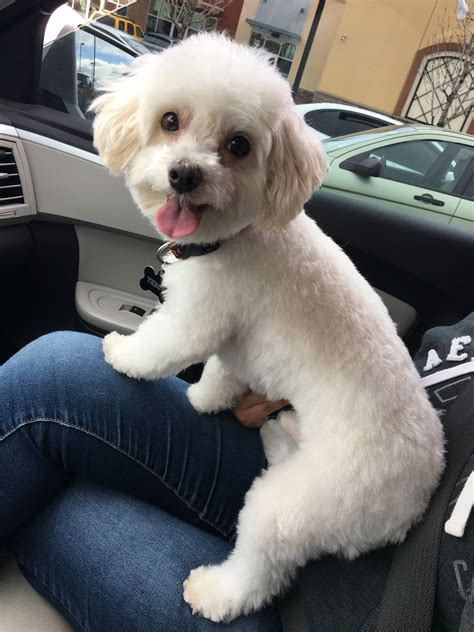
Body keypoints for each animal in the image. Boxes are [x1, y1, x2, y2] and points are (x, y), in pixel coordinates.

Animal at [91, 33, 444, 624]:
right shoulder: (232, 337)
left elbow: (162, 348)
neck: (234, 237)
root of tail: (411, 508)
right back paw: (279, 433)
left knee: (262, 569)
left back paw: (214, 592)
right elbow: (222, 373)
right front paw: (205, 400)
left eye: (239, 145)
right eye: (169, 120)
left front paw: (121, 352)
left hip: (296, 508)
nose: (185, 173)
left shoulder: (197, 318)